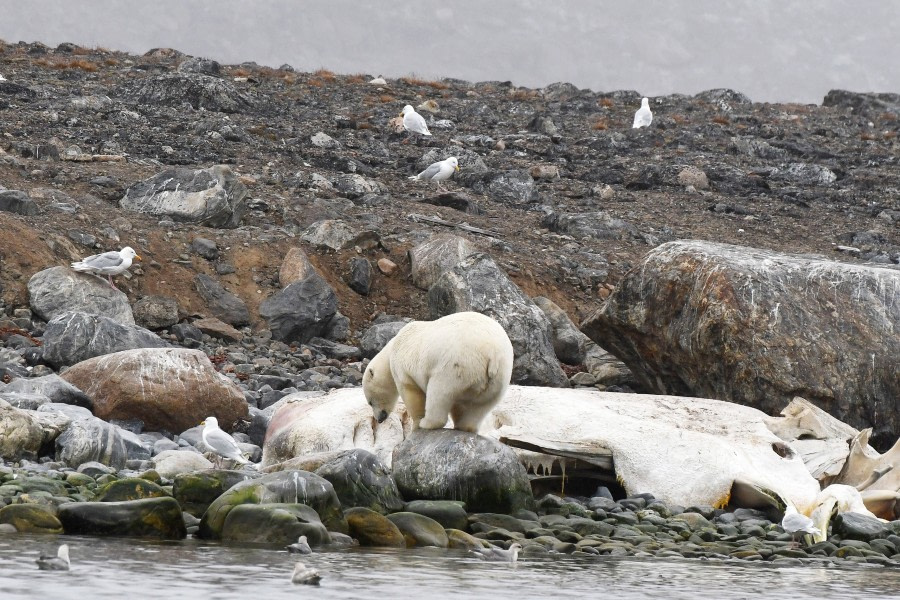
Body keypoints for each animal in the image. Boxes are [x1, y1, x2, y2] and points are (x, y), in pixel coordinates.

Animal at [363, 311, 514, 433]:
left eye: (370, 402)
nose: (379, 418)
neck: (392, 349)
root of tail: (492, 353)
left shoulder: (402, 367)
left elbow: (411, 392)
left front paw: (416, 424)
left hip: (454, 367)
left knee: (439, 395)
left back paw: (427, 423)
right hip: (498, 379)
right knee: (479, 407)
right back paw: (465, 426)